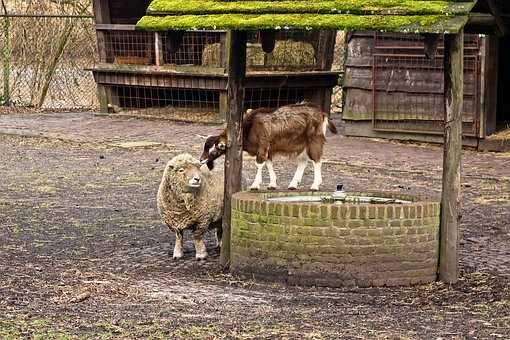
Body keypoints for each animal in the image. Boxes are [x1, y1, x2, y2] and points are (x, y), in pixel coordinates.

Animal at [200, 102, 338, 191]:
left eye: (213, 151)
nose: (201, 160)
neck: (249, 128)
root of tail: (321, 113)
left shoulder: (263, 145)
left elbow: (259, 163)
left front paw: (255, 185)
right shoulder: (268, 149)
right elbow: (269, 163)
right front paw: (272, 184)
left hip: (314, 140)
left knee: (317, 160)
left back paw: (315, 185)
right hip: (302, 144)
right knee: (303, 161)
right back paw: (293, 184)